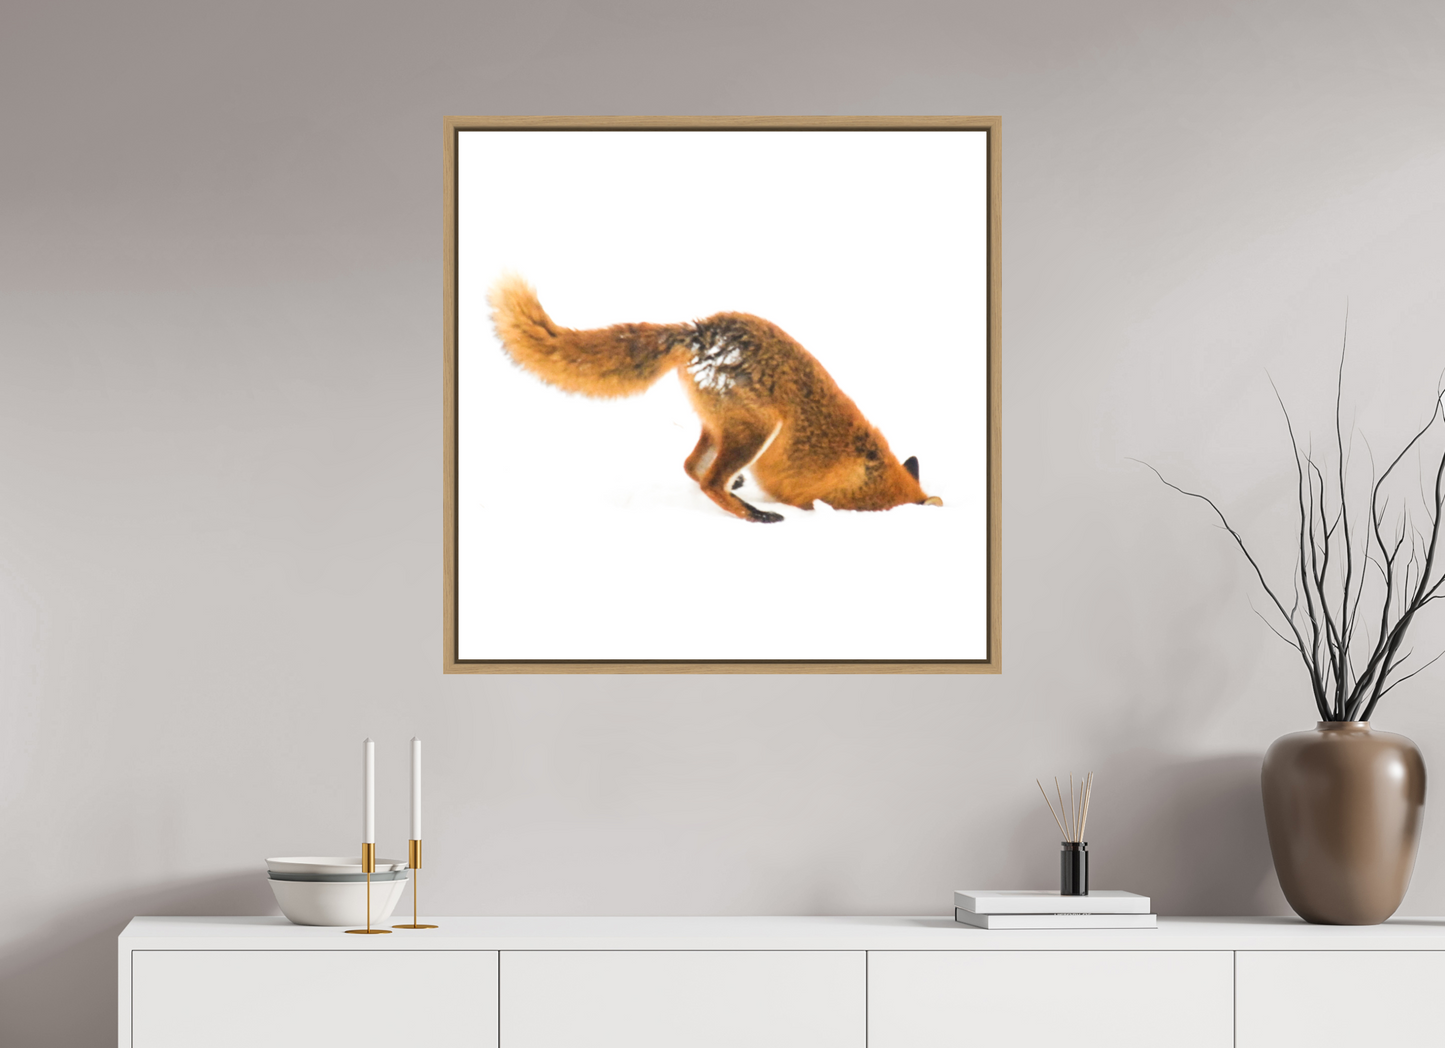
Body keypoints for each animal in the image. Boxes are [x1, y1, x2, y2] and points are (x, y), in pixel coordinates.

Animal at [487, 275, 944, 523]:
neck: (873, 478)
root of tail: (701, 331)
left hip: (718, 426)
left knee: (692, 466)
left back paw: (737, 491)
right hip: (758, 429)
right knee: (708, 481)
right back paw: (756, 516)